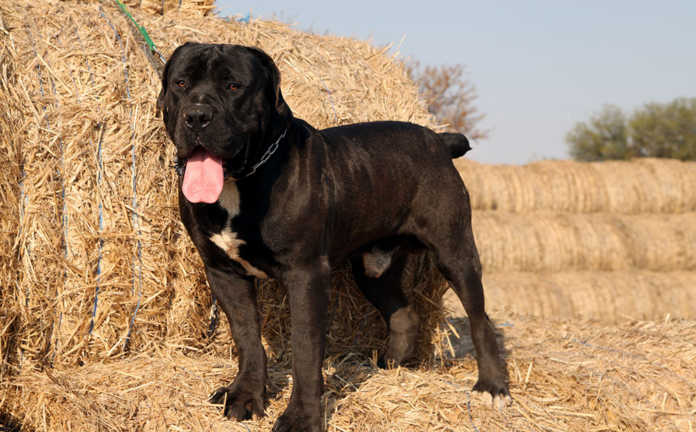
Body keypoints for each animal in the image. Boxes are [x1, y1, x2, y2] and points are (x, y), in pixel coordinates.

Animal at [156, 44, 506, 432]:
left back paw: (492, 387)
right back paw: (390, 367)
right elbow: (246, 336)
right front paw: (246, 396)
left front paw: (301, 418)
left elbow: (306, 351)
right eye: (181, 83)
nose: (197, 115)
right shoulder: (224, 272)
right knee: (404, 314)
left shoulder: (306, 274)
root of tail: (438, 139)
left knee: (480, 318)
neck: (243, 179)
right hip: (373, 270)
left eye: (233, 86)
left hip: (455, 252)